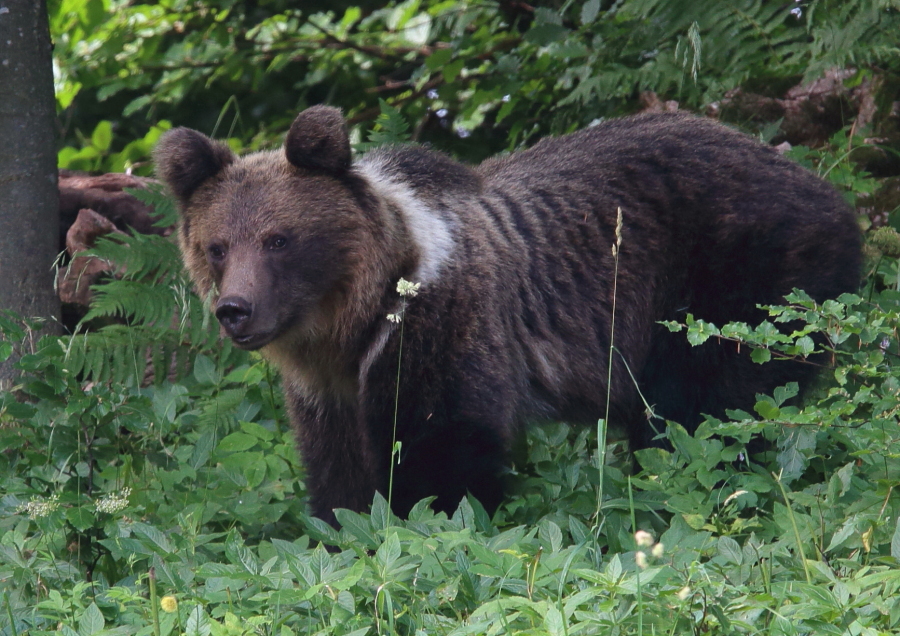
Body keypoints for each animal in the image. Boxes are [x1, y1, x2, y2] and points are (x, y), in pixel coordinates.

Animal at [155, 105, 856, 528]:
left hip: (736, 284)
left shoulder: (444, 329)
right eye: (217, 245)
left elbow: (444, 452)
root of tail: (817, 181)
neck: (355, 321)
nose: (235, 310)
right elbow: (338, 473)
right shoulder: (327, 389)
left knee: (710, 411)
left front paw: (429, 522)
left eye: (278, 239)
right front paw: (344, 527)